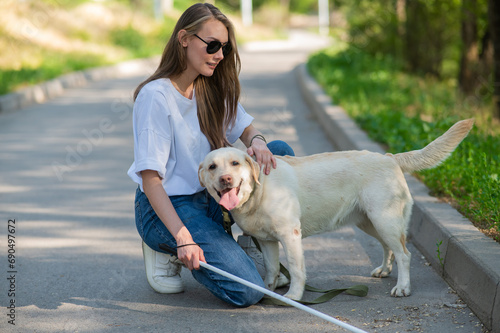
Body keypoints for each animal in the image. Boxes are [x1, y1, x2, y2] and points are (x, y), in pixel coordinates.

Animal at [198, 118, 472, 298]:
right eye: (212, 167)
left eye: (235, 163)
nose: (225, 179)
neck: (258, 191)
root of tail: (390, 157)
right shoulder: (267, 241)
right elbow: (272, 269)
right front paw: (268, 290)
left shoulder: (290, 235)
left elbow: (296, 269)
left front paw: (293, 297)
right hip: (371, 222)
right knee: (389, 248)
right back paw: (384, 270)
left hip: (384, 219)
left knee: (405, 254)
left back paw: (403, 287)